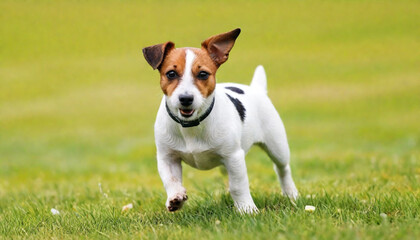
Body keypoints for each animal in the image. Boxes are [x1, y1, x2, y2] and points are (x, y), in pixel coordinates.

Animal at [143, 28, 296, 214]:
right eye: (171, 74)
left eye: (203, 74)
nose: (185, 98)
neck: (191, 126)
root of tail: (256, 89)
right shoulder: (167, 157)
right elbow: (170, 179)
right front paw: (175, 197)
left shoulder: (234, 156)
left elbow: (238, 186)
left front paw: (247, 209)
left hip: (277, 145)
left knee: (282, 168)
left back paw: (291, 194)